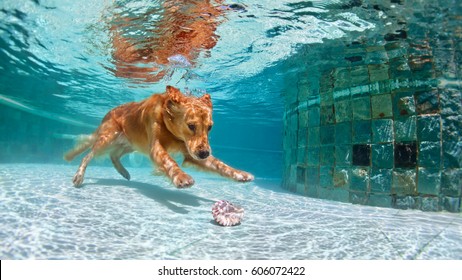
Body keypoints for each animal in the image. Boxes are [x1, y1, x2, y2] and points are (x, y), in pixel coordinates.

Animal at [63, 85, 254, 188]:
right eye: (191, 126)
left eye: (210, 127)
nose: (204, 153)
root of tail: (106, 114)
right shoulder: (155, 147)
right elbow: (169, 161)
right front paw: (181, 177)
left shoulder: (191, 151)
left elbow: (220, 165)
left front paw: (240, 174)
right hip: (108, 138)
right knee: (88, 154)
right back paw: (79, 176)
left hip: (130, 145)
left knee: (113, 155)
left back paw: (124, 173)